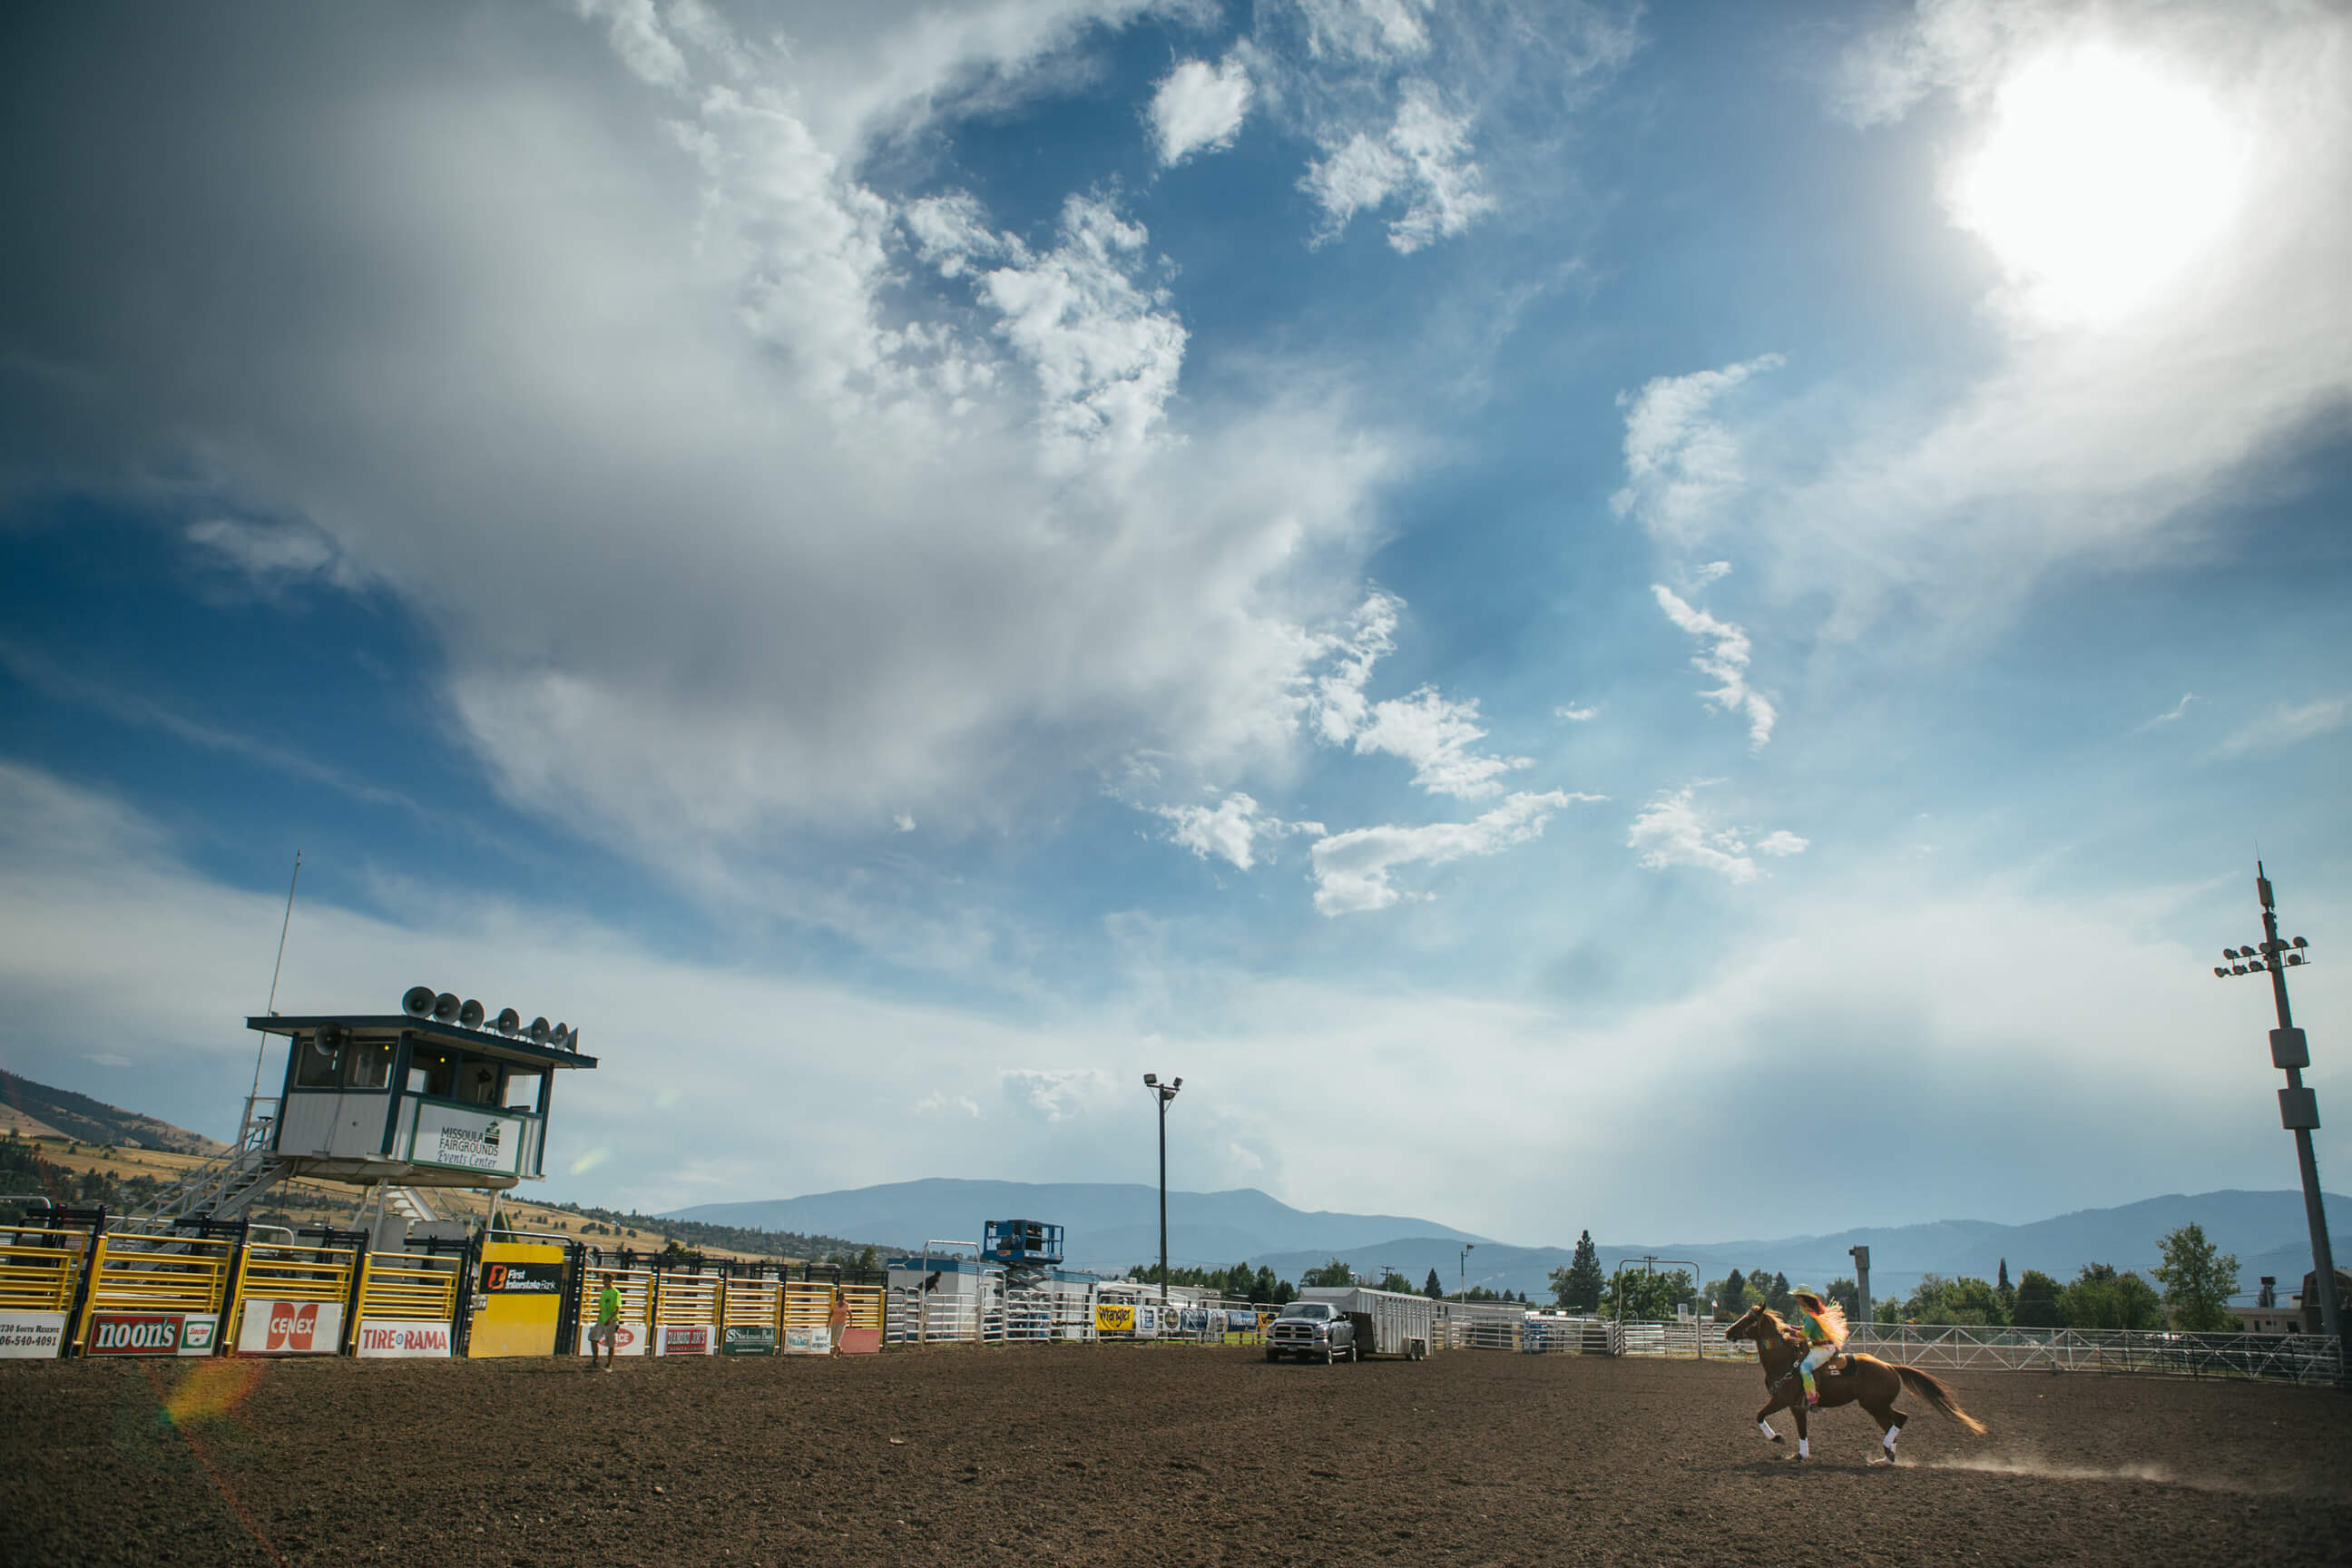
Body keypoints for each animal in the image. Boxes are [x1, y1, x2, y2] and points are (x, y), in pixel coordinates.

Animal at [1730, 1307, 1984, 1466]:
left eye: (1749, 1319)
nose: (1728, 1332)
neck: (1785, 1361)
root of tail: (1890, 1367)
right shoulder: (1796, 1406)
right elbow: (1802, 1430)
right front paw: (1800, 1454)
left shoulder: (1782, 1400)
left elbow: (1759, 1415)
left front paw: (1777, 1438)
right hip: (1877, 1407)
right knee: (1891, 1424)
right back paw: (1887, 1458)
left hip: (1874, 1404)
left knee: (1900, 1419)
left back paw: (1886, 1451)